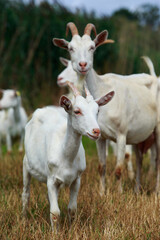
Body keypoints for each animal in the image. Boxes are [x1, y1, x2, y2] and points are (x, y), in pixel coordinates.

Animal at [21, 82, 114, 231]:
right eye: (77, 111)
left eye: (98, 111)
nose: (96, 131)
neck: (66, 157)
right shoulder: (51, 179)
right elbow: (55, 212)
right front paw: (55, 233)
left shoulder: (77, 179)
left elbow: (72, 209)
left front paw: (72, 230)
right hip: (26, 164)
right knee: (26, 193)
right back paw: (24, 220)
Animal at [52, 22, 160, 195]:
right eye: (70, 48)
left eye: (92, 47)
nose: (83, 65)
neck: (101, 88)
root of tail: (154, 77)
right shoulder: (100, 136)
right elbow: (101, 166)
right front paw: (102, 193)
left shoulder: (122, 135)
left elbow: (118, 169)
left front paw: (119, 194)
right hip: (140, 136)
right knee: (139, 159)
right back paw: (137, 190)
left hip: (157, 129)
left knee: (157, 160)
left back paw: (156, 191)